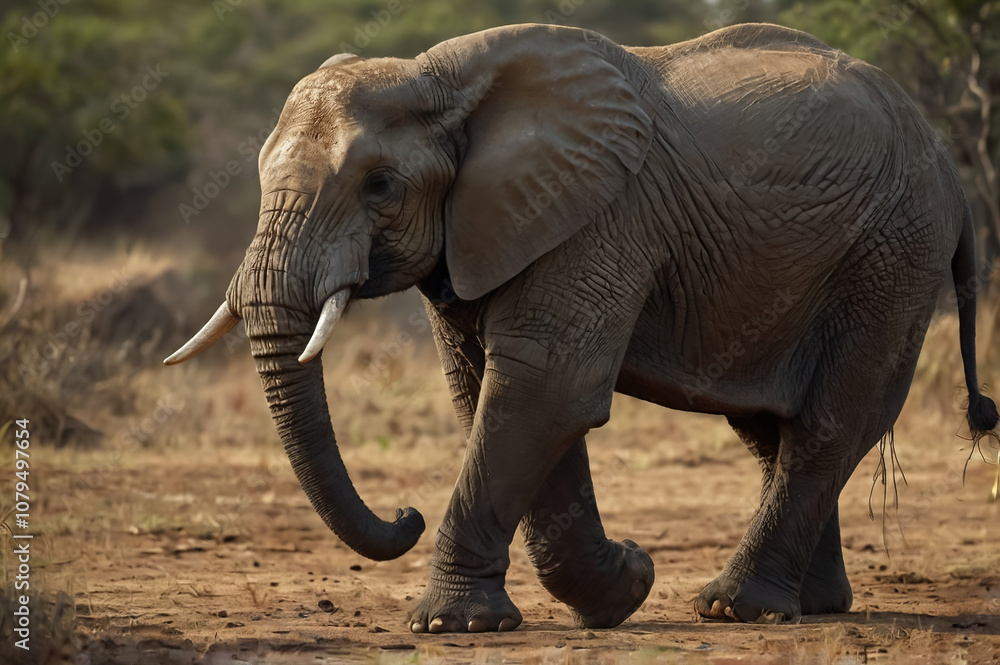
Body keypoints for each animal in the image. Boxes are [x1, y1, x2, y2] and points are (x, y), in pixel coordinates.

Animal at [165, 22, 999, 632]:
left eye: (379, 186)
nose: (403, 513)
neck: (441, 76)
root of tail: (948, 165)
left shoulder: (601, 216)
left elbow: (544, 388)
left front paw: (453, 624)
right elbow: (497, 395)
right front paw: (623, 586)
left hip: (894, 252)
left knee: (829, 424)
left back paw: (736, 606)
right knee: (773, 431)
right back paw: (811, 605)